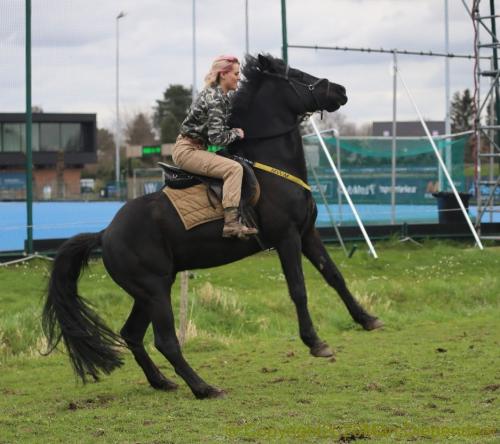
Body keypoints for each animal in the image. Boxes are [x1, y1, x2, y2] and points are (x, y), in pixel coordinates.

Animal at [43, 54, 382, 398]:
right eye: (297, 75)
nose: (340, 90)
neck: (272, 168)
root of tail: (105, 234)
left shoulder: (307, 233)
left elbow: (334, 276)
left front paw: (367, 319)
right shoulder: (287, 238)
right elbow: (298, 289)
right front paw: (315, 342)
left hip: (148, 293)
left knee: (132, 334)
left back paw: (162, 381)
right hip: (154, 291)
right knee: (165, 341)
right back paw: (203, 388)